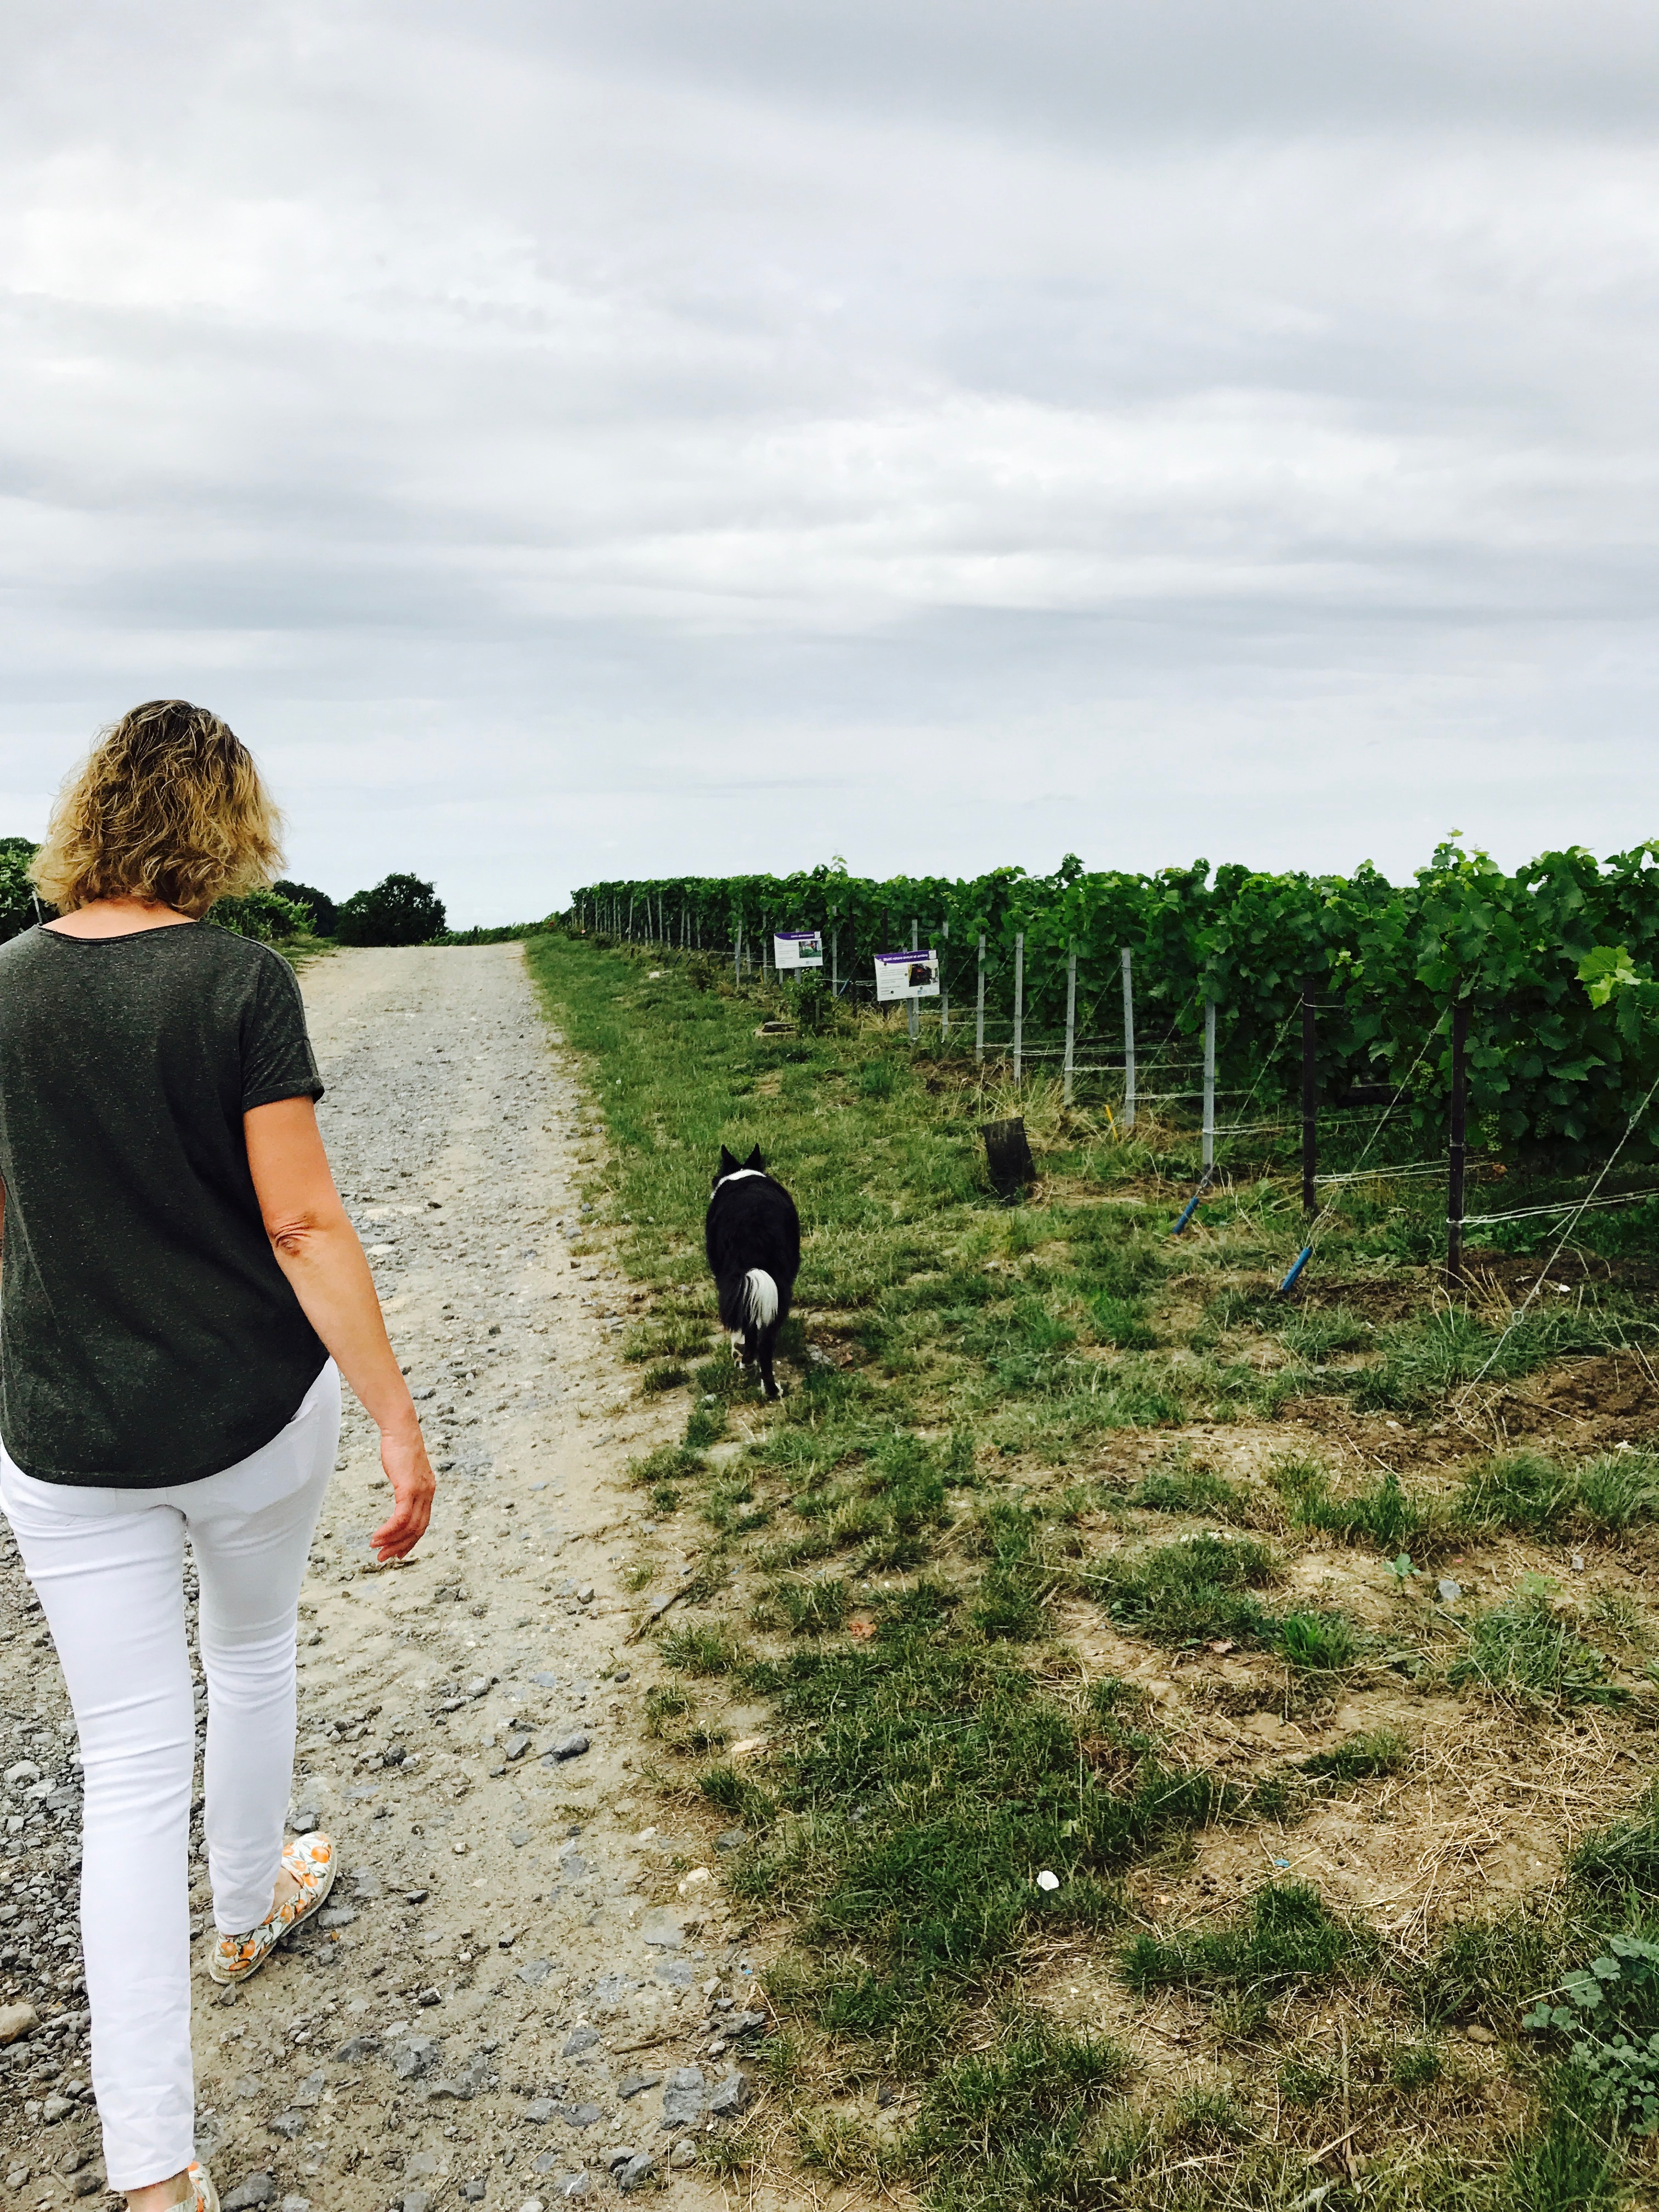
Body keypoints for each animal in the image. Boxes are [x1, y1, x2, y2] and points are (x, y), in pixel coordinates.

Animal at [705, 1145, 800, 1400]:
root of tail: (755, 1226)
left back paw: (751, 1365)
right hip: (778, 1286)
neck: (742, 1174)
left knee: (757, 1337)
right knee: (766, 1339)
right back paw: (771, 1389)